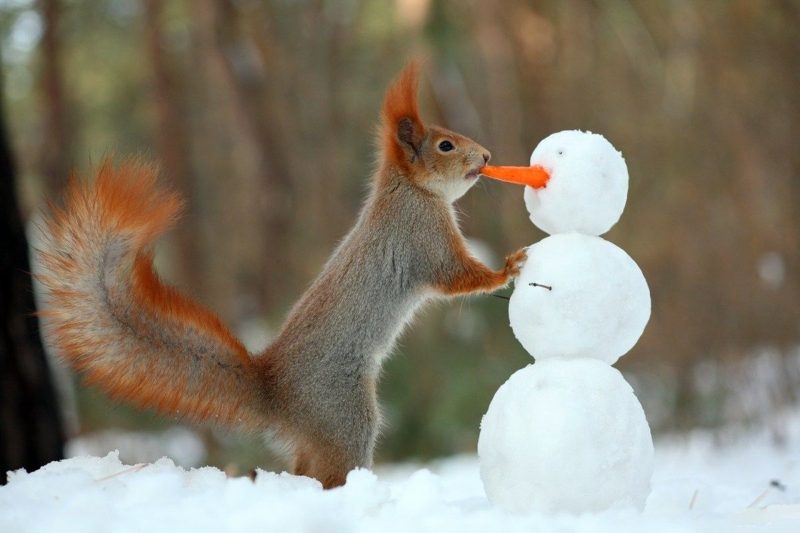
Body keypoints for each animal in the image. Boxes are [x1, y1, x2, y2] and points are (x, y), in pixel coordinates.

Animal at [39, 62, 524, 486]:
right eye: (445, 146)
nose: (486, 156)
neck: (409, 189)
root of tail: (275, 394)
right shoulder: (422, 238)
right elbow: (456, 277)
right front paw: (508, 268)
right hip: (343, 416)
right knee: (328, 471)